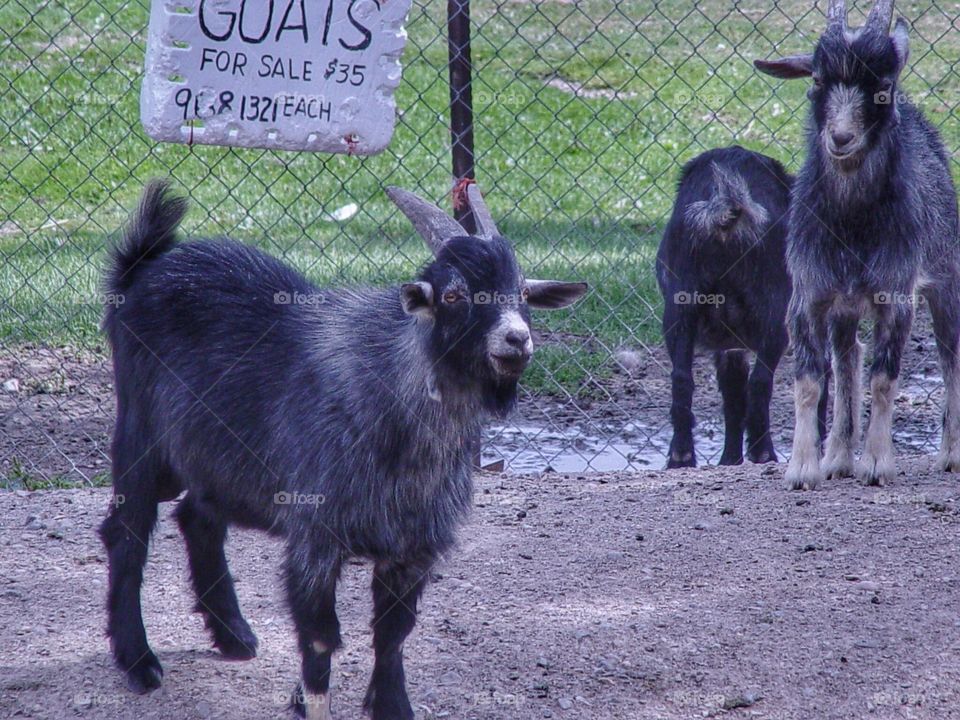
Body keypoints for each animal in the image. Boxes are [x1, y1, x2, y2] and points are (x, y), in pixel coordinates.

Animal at [98, 180, 587, 719]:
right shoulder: (316, 537)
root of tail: (142, 270)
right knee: (126, 534)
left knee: (197, 519)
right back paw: (139, 661)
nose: (516, 340)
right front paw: (311, 703)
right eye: (454, 294)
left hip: (216, 461)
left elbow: (393, 636)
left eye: (522, 292)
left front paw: (393, 707)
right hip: (140, 437)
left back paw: (233, 636)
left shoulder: (412, 547)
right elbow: (319, 642)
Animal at [657, 145, 813, 468]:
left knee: (682, 380)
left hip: (680, 313)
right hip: (775, 318)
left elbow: (732, 402)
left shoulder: (729, 348)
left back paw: (681, 456)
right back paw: (763, 453)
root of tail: (728, 208)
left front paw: (729, 459)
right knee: (760, 383)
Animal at [755, 0, 960, 489]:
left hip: (946, 278)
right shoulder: (809, 294)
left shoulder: (896, 294)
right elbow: (810, 381)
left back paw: (949, 454)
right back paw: (837, 457)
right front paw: (803, 468)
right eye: (816, 80)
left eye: (882, 86)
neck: (850, 225)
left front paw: (877, 463)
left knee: (951, 355)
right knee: (847, 357)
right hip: (844, 307)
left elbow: (885, 379)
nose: (841, 138)